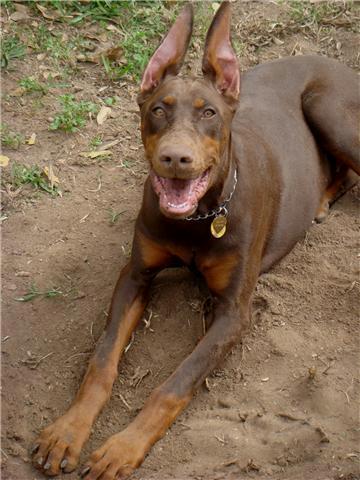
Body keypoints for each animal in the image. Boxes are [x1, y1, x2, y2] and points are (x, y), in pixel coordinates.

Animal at [32, 1, 358, 478]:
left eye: (209, 114)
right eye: (157, 109)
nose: (175, 158)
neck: (199, 218)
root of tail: (334, 62)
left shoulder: (233, 313)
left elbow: (173, 384)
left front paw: (120, 447)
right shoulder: (135, 274)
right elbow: (102, 360)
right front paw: (67, 431)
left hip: (329, 110)